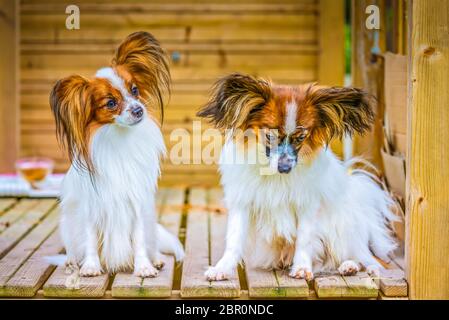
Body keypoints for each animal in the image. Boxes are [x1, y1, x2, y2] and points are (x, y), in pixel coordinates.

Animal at [51, 31, 186, 278]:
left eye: (134, 90)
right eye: (111, 103)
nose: (138, 109)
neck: (119, 138)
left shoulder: (137, 203)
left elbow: (139, 239)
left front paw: (144, 267)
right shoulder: (90, 207)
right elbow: (90, 238)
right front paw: (90, 266)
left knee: (151, 243)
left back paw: (157, 259)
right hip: (67, 225)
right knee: (73, 248)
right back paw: (72, 261)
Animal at [197, 72, 396, 280]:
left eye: (301, 138)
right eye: (270, 136)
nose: (284, 168)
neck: (274, 175)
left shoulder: (307, 206)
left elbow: (304, 239)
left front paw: (301, 267)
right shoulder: (243, 203)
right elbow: (234, 240)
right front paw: (222, 269)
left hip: (342, 230)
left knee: (366, 258)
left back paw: (354, 266)